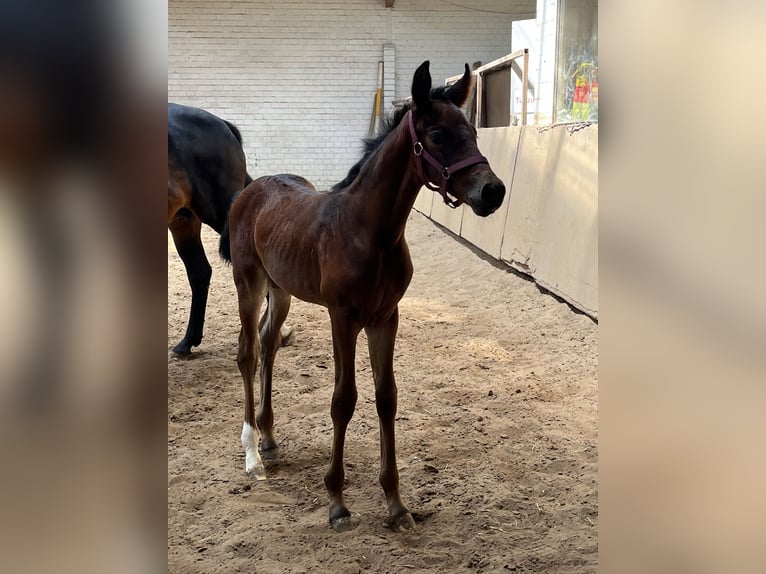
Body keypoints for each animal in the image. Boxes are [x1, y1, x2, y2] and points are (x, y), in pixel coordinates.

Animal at [220, 61, 506, 532]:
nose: (493, 191)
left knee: (268, 342)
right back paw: (251, 454)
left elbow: (386, 397)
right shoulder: (343, 317)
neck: (371, 233)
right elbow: (343, 400)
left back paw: (270, 438)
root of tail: (250, 188)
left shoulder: (385, 317)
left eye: (473, 132)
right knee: (247, 353)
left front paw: (396, 504)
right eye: (437, 135)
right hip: (250, 282)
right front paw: (337, 502)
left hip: (281, 290)